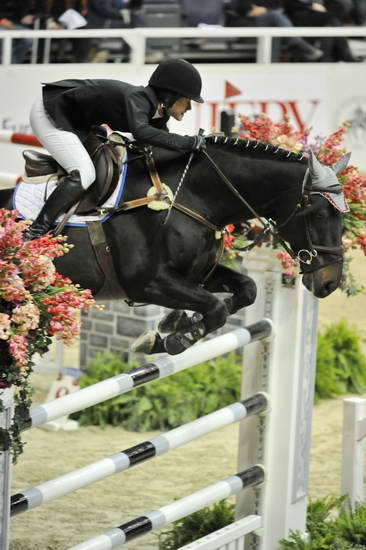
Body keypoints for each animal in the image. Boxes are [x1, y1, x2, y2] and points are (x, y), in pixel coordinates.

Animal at [0, 136, 348, 356]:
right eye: (319, 214)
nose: (330, 283)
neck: (192, 199)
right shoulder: (149, 284)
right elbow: (216, 308)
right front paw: (174, 339)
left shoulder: (197, 274)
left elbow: (245, 290)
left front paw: (177, 325)